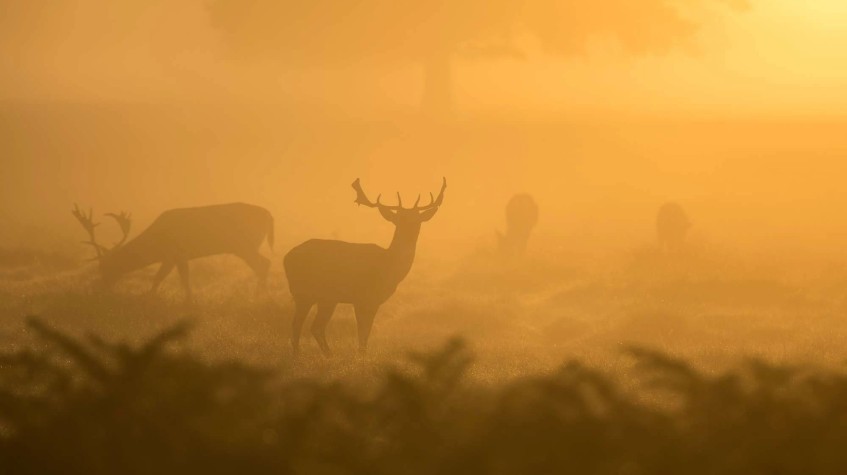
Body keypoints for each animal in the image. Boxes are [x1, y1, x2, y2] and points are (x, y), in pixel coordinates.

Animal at [73, 203, 274, 299]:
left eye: (106, 266)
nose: (100, 288)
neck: (156, 245)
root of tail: (269, 215)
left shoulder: (176, 254)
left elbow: (166, 278)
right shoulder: (173, 257)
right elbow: (174, 278)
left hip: (245, 245)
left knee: (263, 264)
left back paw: (259, 296)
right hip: (246, 246)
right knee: (264, 263)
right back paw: (261, 295)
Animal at [284, 177, 446, 356]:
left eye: (417, 220)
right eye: (399, 219)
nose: (410, 231)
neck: (389, 267)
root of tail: (286, 258)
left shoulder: (371, 300)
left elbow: (365, 333)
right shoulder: (363, 297)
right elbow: (363, 333)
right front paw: (361, 356)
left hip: (325, 298)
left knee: (313, 326)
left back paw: (326, 355)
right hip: (305, 292)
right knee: (300, 324)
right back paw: (302, 354)